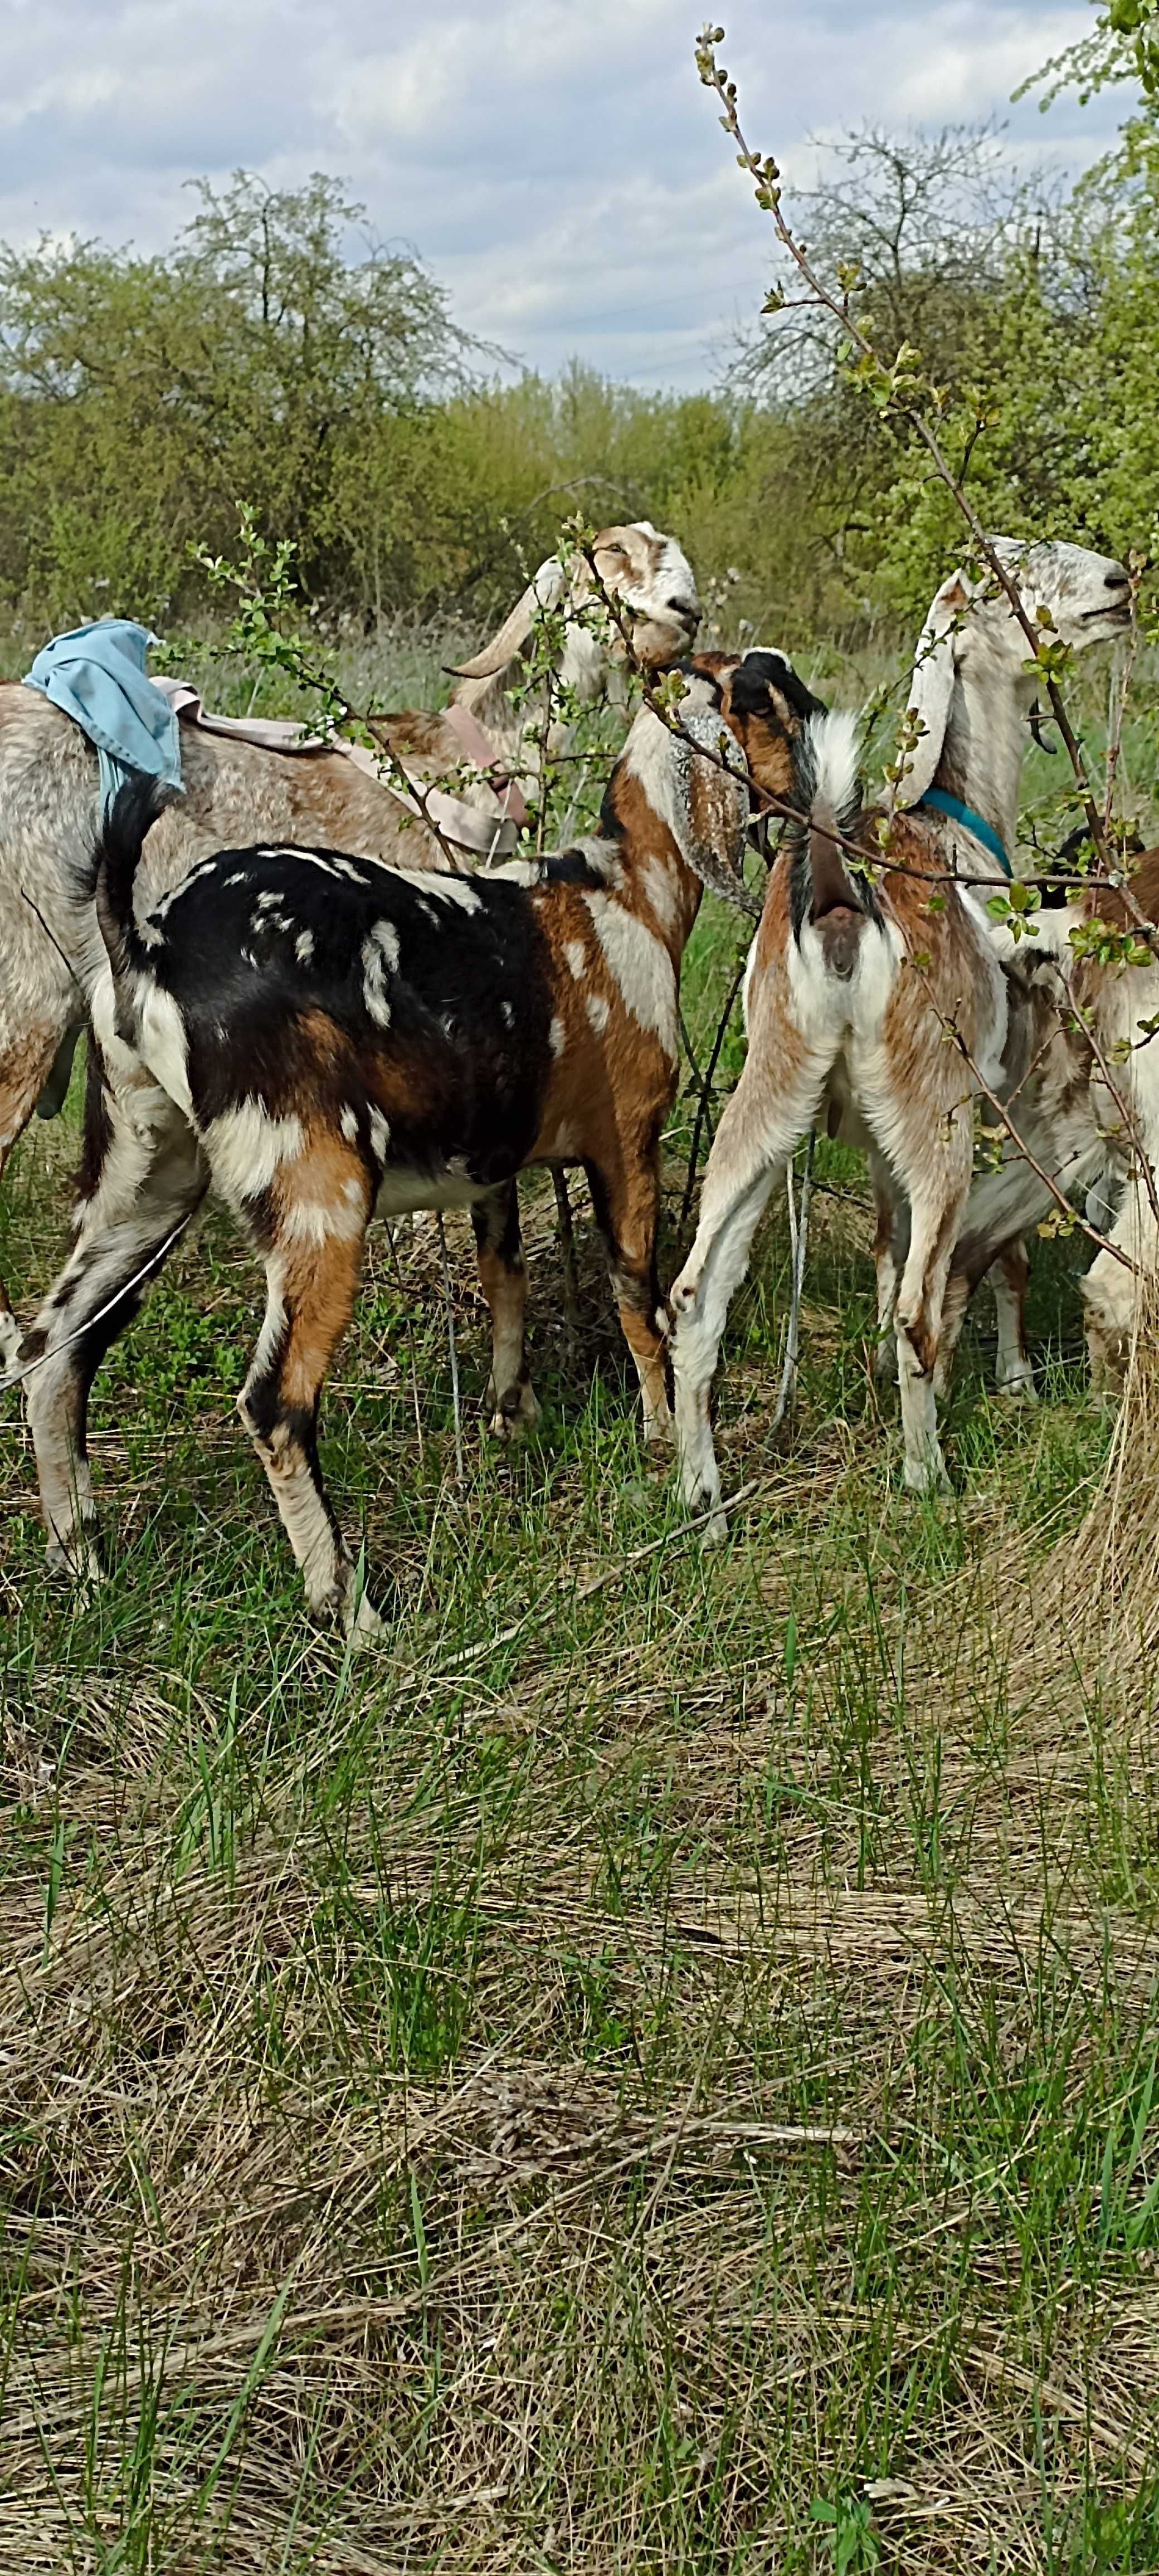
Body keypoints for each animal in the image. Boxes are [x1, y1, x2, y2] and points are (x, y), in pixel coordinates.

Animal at [13, 654, 819, 1638]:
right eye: (772, 703)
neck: (625, 892)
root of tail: (147, 946)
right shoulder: (629, 1141)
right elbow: (638, 1293)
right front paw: (663, 1433)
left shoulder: (493, 1166)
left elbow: (505, 1278)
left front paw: (514, 1417)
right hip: (313, 1186)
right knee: (274, 1402)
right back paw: (351, 1612)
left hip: (146, 1175)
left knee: (55, 1351)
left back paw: (82, 1562)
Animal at [669, 530, 1133, 1514]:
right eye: (1006, 574)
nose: (1119, 582)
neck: (957, 819)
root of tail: (841, 902)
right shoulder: (1000, 1108)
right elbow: (999, 1260)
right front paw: (1013, 1381)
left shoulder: (881, 1147)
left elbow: (886, 1251)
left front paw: (883, 1364)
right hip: (937, 1116)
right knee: (925, 1299)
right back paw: (929, 1480)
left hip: (772, 1097)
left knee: (695, 1293)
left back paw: (702, 1497)